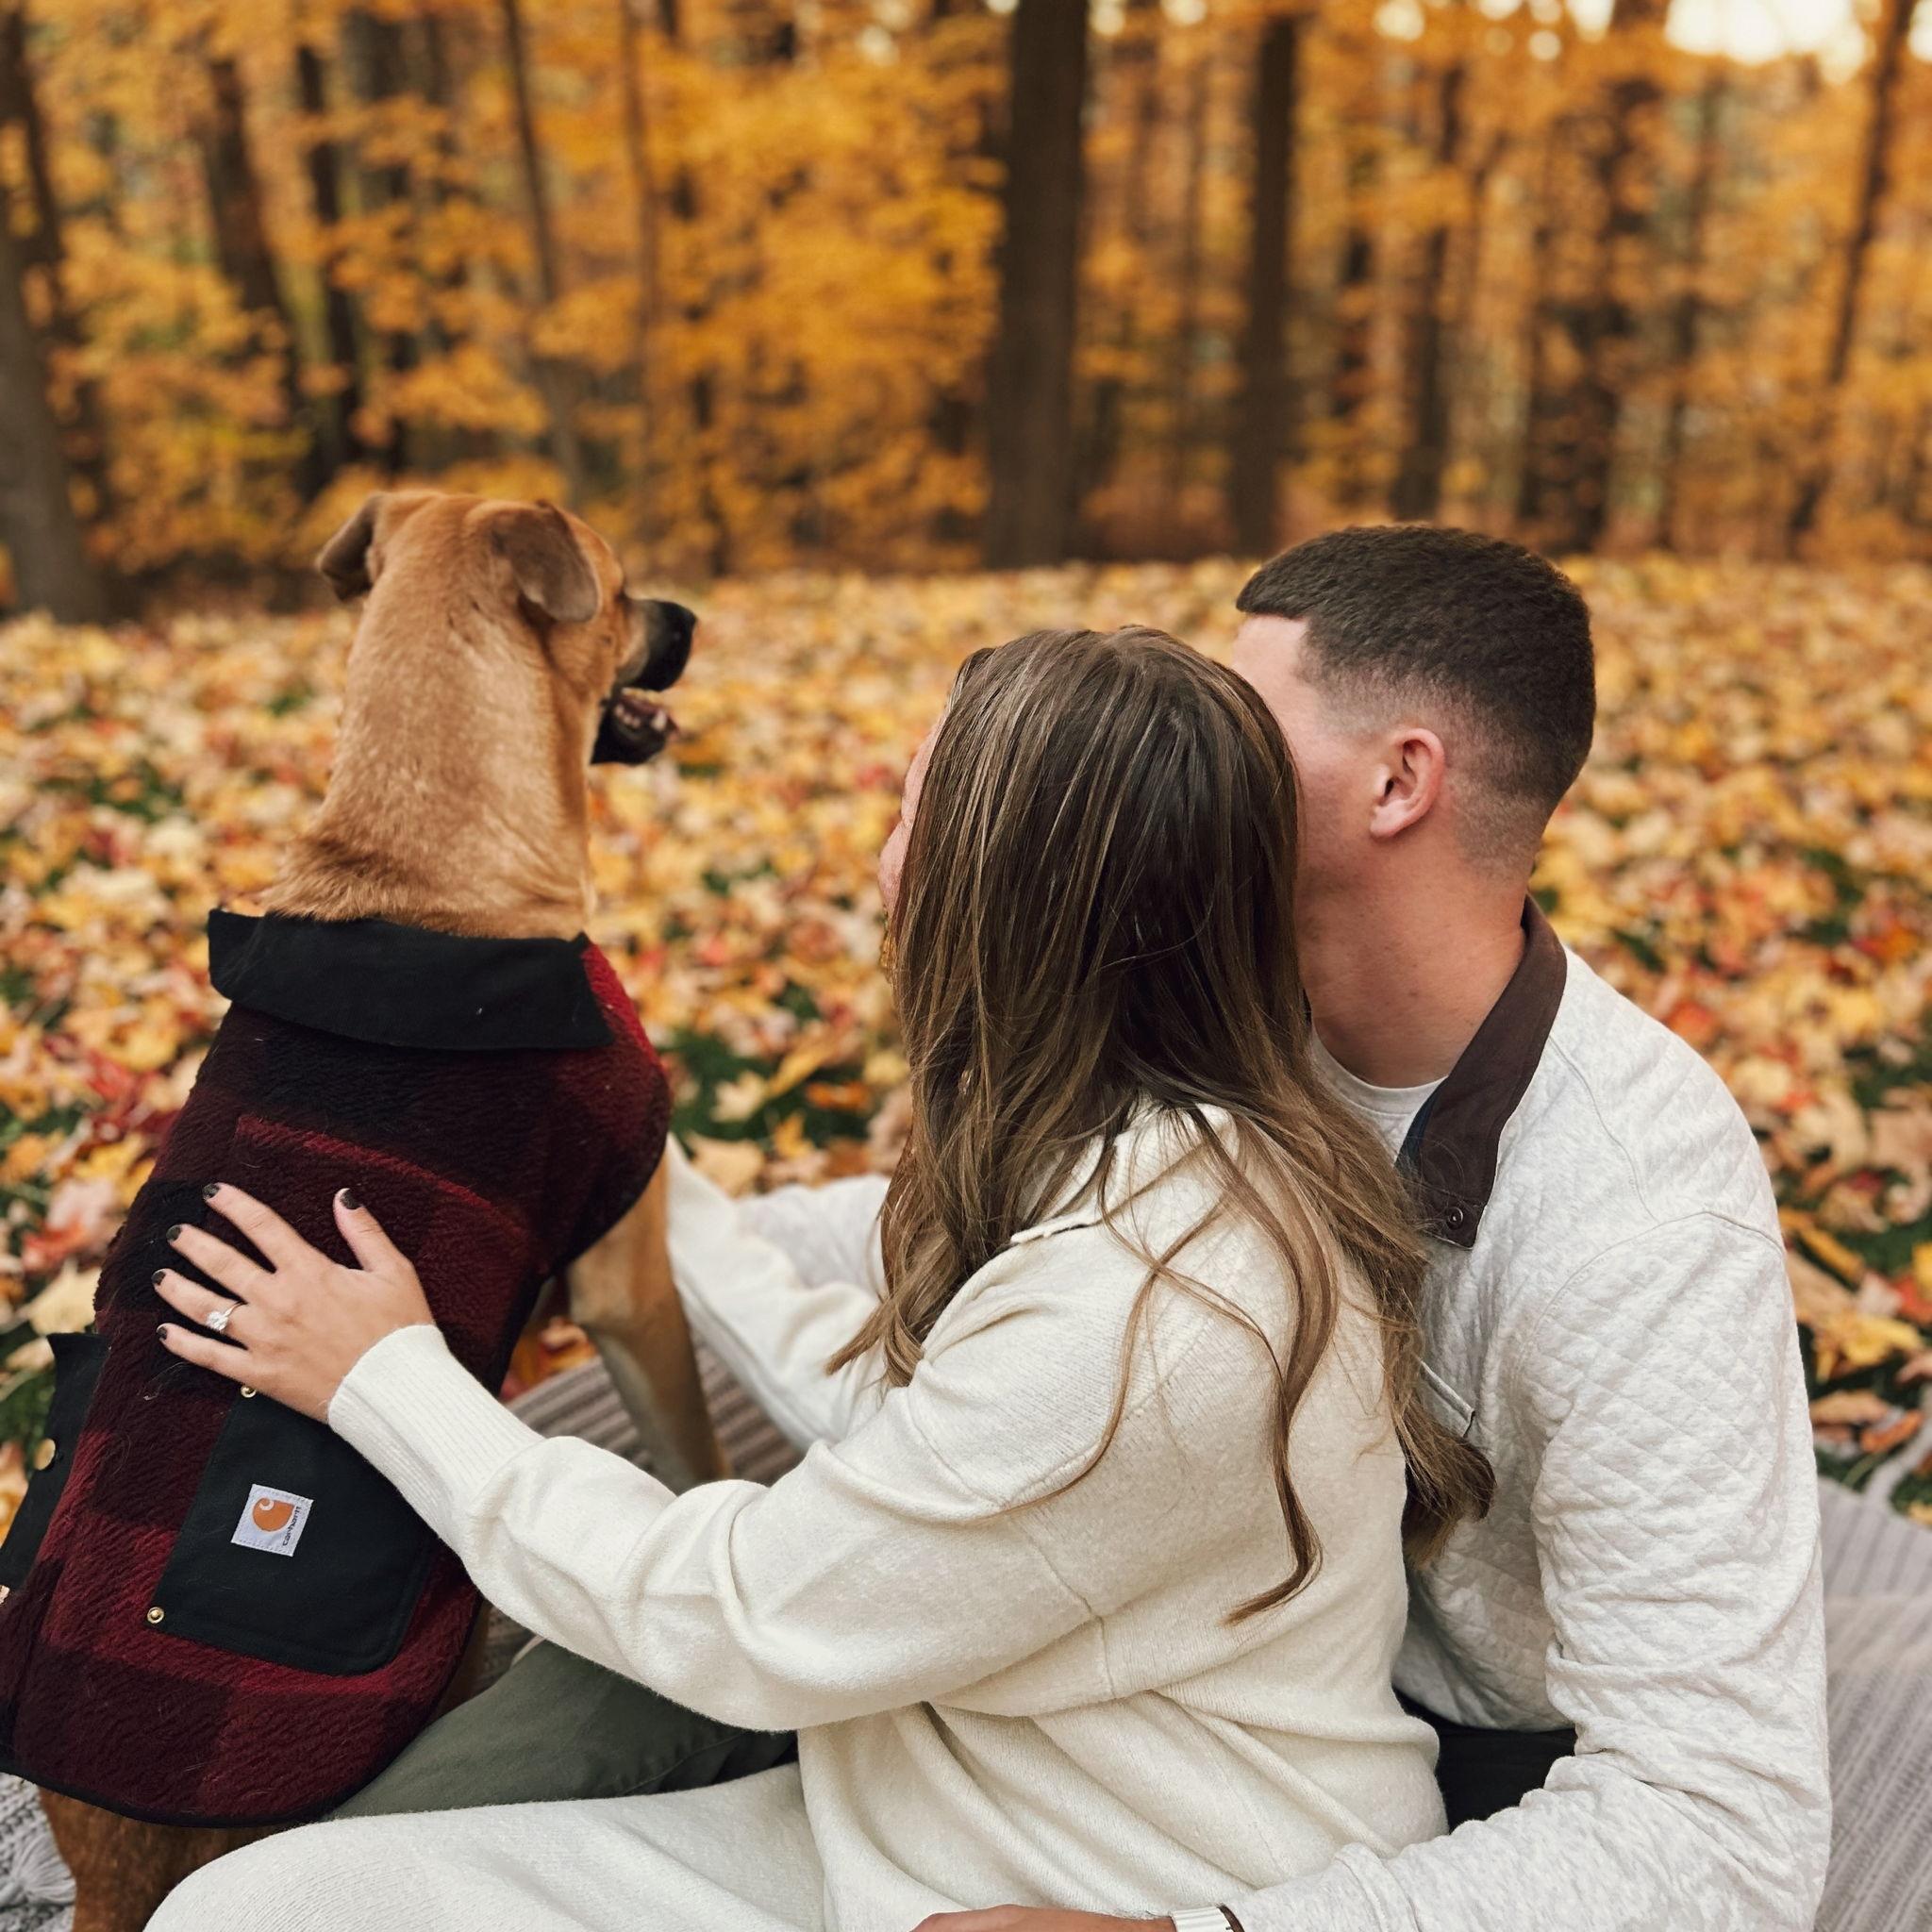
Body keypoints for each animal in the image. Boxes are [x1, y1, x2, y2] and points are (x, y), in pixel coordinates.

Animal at [7, 492, 727, 1931]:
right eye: (623, 587)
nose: (689, 616)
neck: (418, 870)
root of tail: (121, 1875)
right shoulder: (627, 1270)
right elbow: (693, 1455)